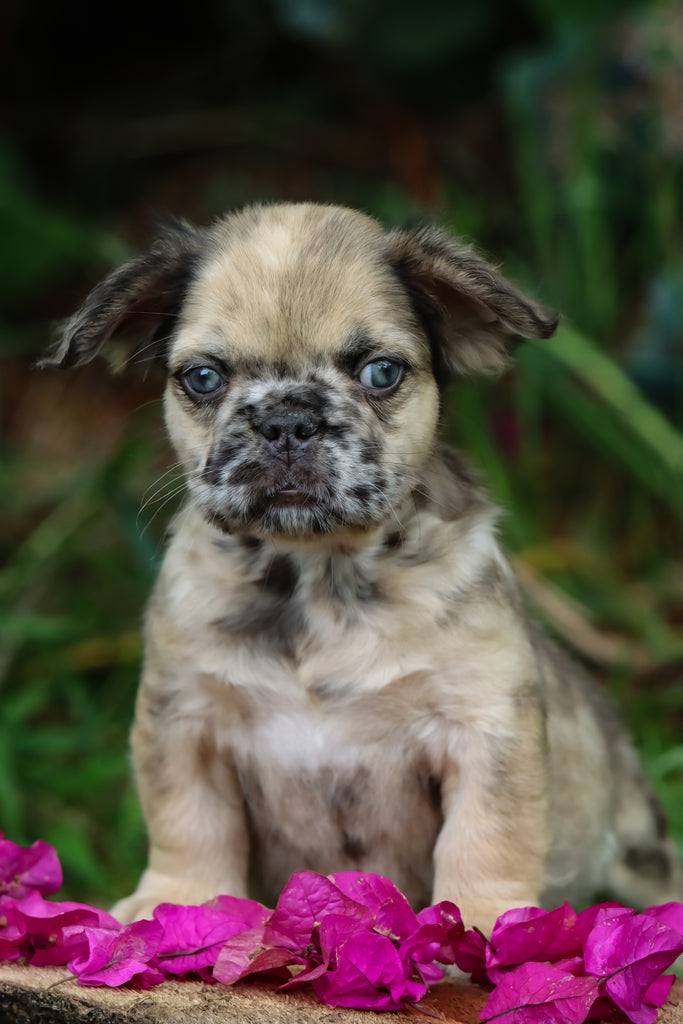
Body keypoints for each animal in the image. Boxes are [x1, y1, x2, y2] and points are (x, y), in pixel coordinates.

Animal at [45, 203, 679, 933]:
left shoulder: (483, 727)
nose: (286, 421)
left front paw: (485, 921)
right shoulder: (184, 723)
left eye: (380, 373)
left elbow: (489, 835)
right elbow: (186, 821)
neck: (317, 574)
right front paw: (177, 898)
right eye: (203, 378)